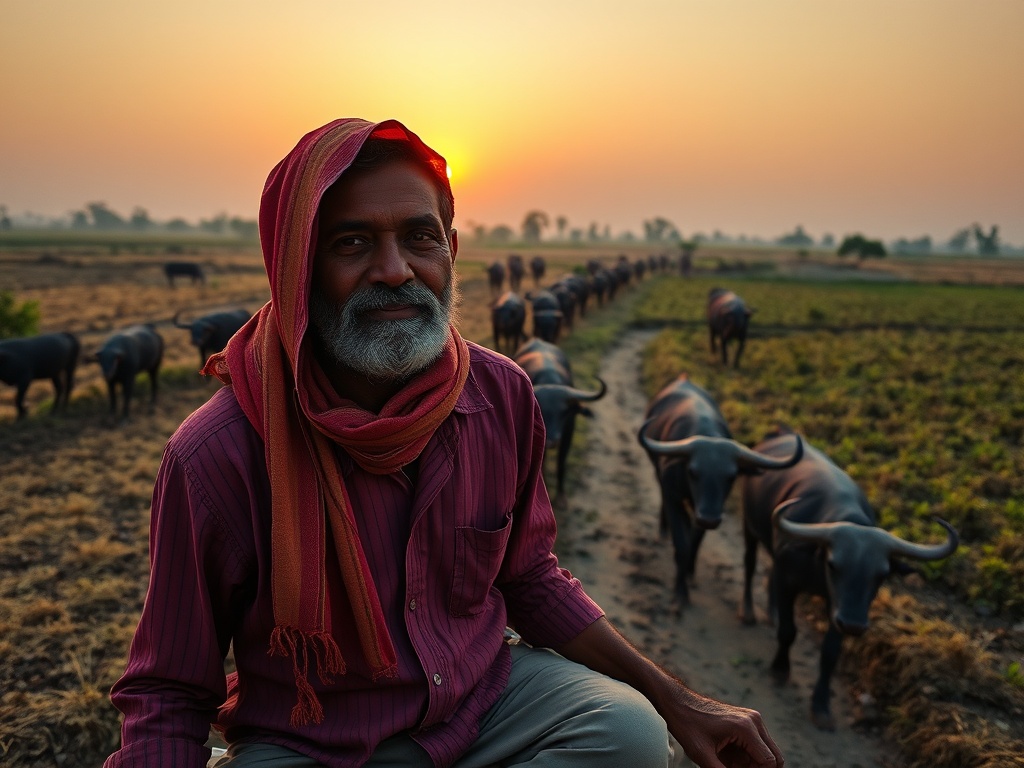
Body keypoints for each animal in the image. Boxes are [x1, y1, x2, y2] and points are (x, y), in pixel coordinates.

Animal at [512, 339, 606, 507]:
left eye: (564, 412)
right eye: (540, 411)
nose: (552, 440)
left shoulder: (568, 431)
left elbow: (561, 462)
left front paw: (561, 497)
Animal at [634, 376, 802, 606]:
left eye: (731, 476)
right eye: (692, 471)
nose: (709, 519)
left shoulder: (708, 508)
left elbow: (694, 541)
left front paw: (689, 573)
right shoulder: (674, 497)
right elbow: (682, 544)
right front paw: (680, 592)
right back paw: (662, 530)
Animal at [741, 430, 954, 729]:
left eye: (882, 574)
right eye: (834, 564)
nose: (853, 624)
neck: (817, 567)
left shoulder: (837, 606)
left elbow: (830, 653)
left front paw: (821, 705)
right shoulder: (788, 581)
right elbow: (788, 631)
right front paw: (780, 670)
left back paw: (770, 613)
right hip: (748, 525)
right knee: (750, 563)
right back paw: (748, 611)